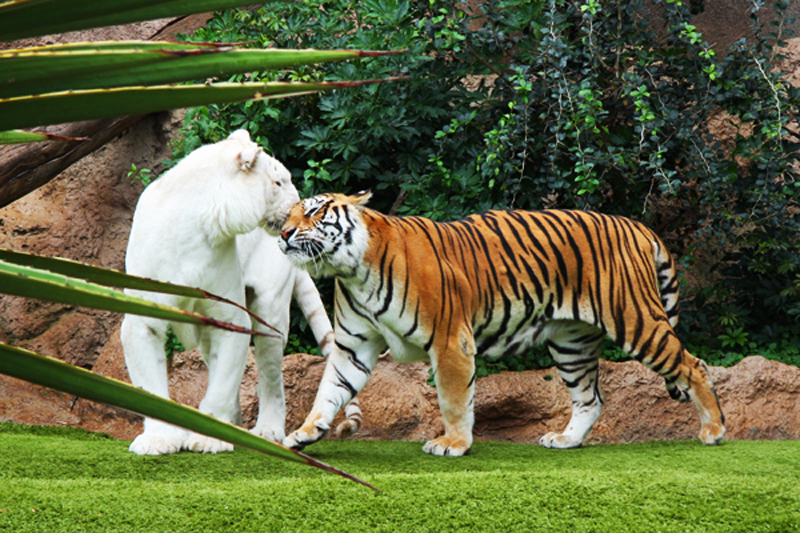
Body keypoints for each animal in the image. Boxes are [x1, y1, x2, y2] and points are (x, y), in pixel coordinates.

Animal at [278, 193, 728, 456]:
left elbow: (453, 399)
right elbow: (329, 391)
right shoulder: (353, 346)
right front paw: (305, 433)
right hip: (572, 343)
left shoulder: (450, 341)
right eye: (289, 213)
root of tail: (637, 225)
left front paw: (454, 444)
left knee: (693, 365)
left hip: (635, 320)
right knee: (590, 397)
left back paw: (714, 431)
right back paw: (567, 440)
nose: (282, 233)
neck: (351, 269)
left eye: (314, 211)